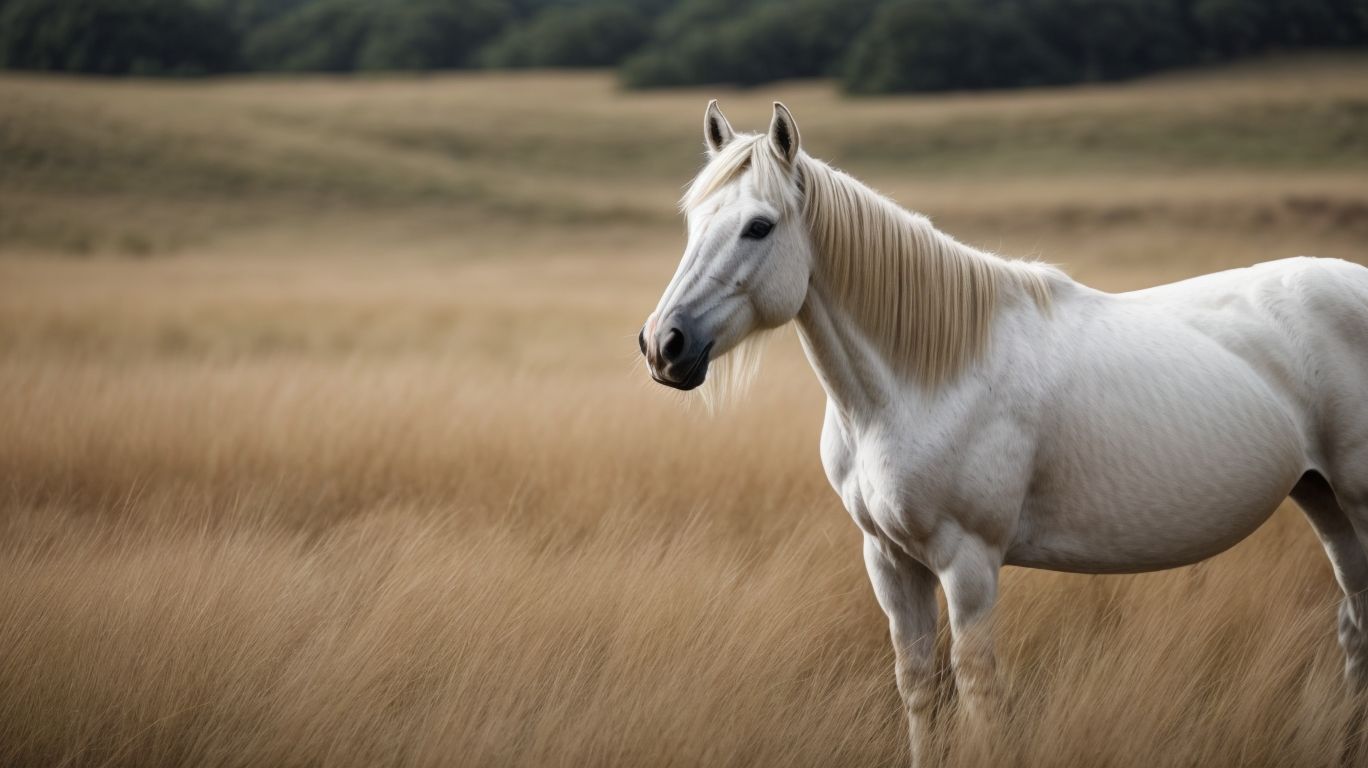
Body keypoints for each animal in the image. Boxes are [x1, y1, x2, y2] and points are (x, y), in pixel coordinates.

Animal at [637, 100, 1368, 765]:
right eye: (694, 219)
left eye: (758, 227)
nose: (664, 345)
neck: (923, 380)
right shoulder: (889, 560)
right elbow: (919, 686)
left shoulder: (969, 563)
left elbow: (979, 692)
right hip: (1323, 500)